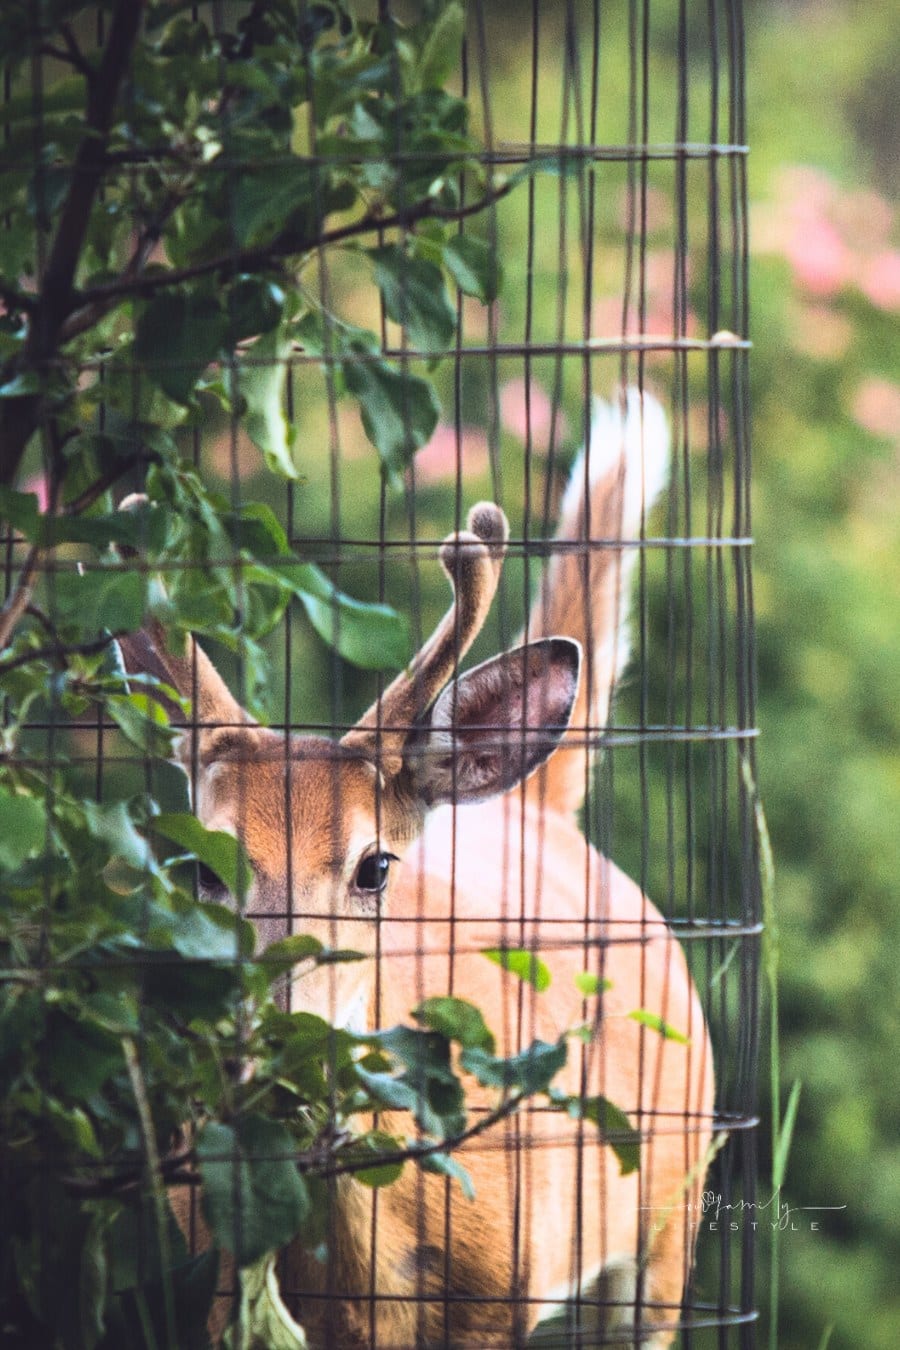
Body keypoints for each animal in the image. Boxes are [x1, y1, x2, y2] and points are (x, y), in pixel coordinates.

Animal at [117, 388, 714, 1348]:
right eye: (201, 869)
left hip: (668, 1218)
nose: (280, 1043)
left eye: (374, 867)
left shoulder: (503, 1297)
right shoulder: (214, 1287)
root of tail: (531, 808)